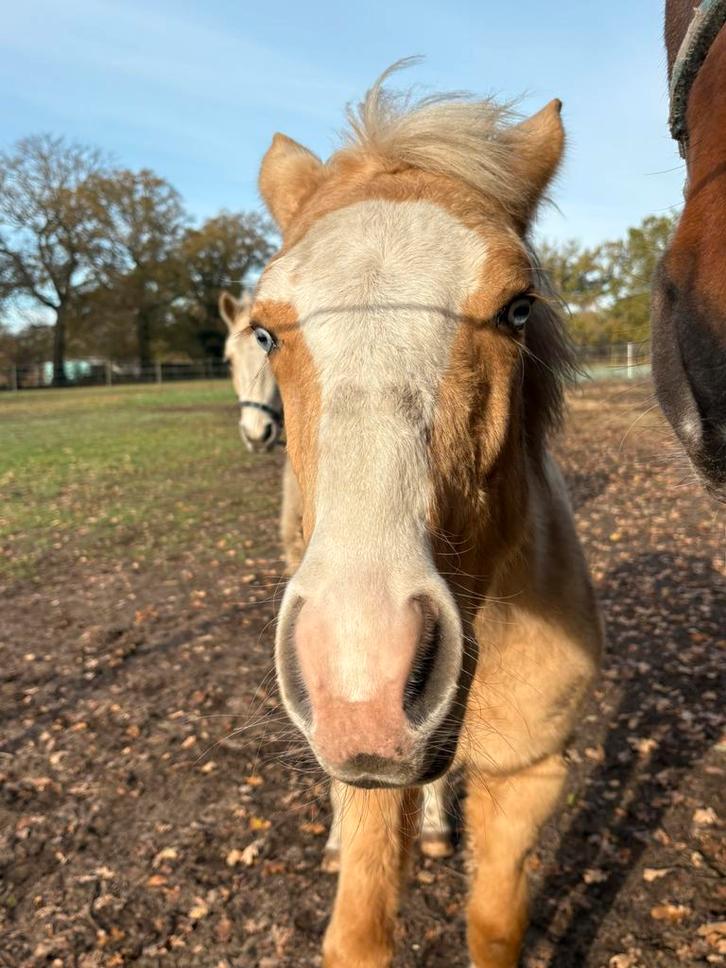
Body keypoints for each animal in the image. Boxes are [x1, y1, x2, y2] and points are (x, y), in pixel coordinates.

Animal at [248, 66, 603, 967]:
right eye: (265, 331)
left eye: (518, 308)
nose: (362, 676)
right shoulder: (370, 781)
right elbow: (359, 934)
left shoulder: (532, 773)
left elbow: (496, 925)